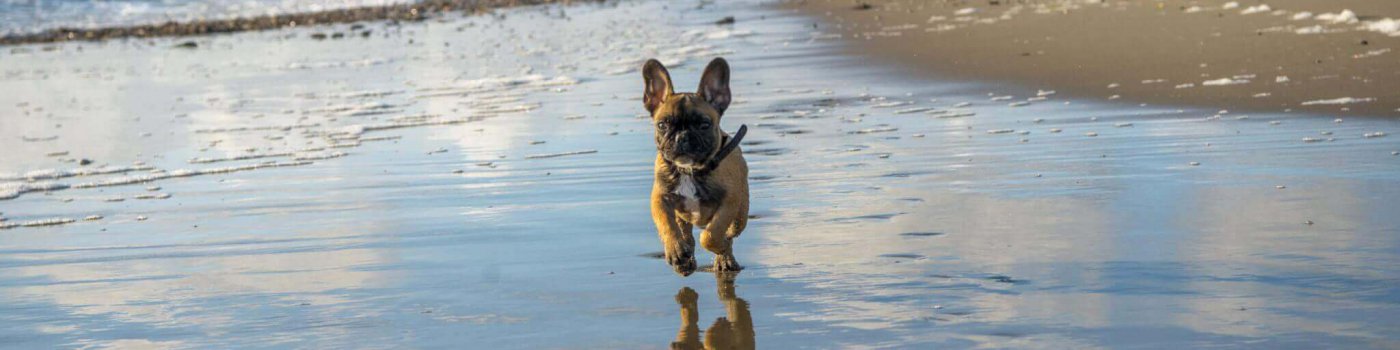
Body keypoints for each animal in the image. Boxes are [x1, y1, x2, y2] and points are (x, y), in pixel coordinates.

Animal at [644, 57, 750, 275]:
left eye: (704, 124)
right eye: (662, 125)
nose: (682, 137)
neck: (689, 170)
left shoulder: (729, 202)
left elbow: (711, 235)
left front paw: (719, 246)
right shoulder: (659, 199)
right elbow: (666, 224)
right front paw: (675, 250)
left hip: (740, 215)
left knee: (729, 234)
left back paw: (724, 259)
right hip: (682, 215)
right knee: (685, 232)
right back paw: (684, 258)